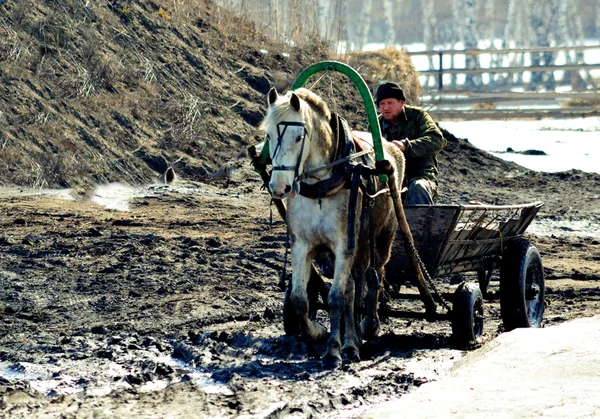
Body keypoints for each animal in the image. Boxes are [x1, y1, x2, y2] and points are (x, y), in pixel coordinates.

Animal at [260, 87, 406, 370]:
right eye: (268, 135)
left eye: (298, 136)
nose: (279, 187)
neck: (321, 187)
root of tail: (393, 149)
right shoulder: (301, 245)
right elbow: (300, 300)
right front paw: (317, 332)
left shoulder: (343, 245)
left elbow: (336, 298)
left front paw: (333, 352)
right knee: (353, 287)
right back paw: (351, 339)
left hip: (379, 237)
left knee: (373, 277)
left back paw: (366, 327)